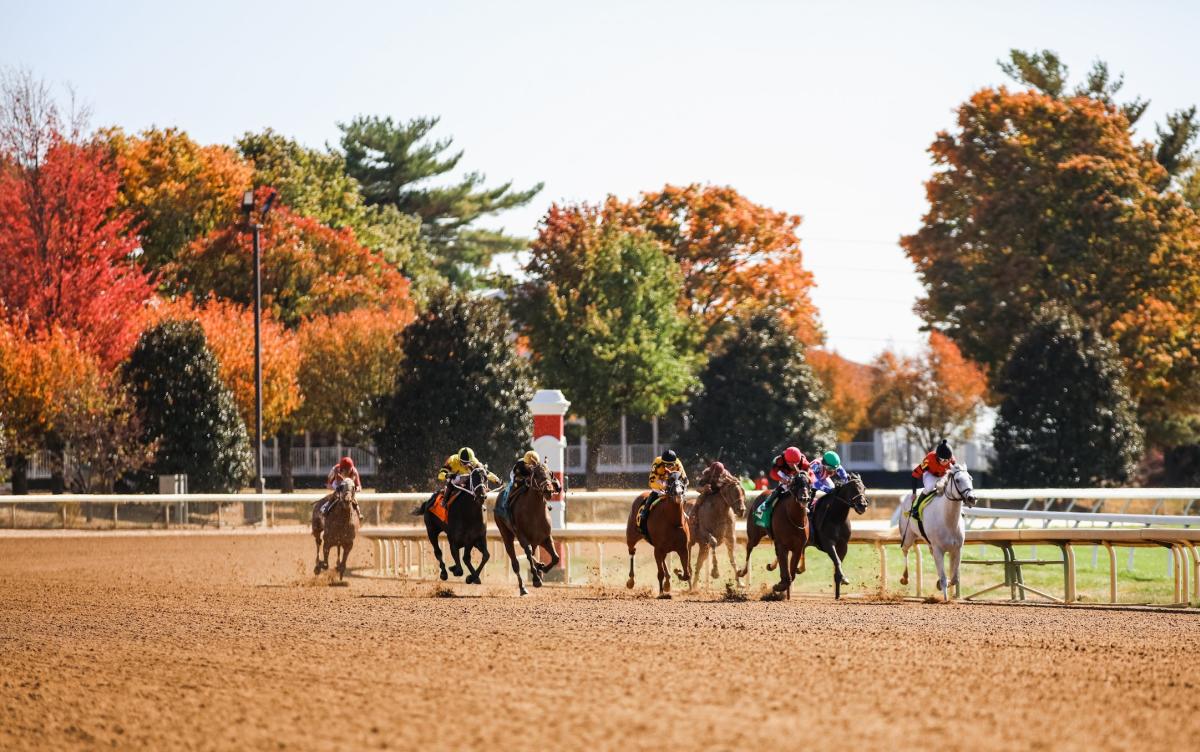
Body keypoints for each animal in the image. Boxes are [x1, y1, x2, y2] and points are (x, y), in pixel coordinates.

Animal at [501, 462, 566, 597]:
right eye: (535, 475)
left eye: (550, 473)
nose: (548, 490)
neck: (534, 511)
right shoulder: (521, 535)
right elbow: (528, 553)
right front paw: (536, 579)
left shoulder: (545, 538)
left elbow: (556, 557)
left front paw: (542, 568)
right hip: (506, 534)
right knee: (516, 562)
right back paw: (523, 588)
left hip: (535, 541)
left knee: (532, 554)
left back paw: (539, 566)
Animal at [691, 462, 744, 592]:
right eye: (733, 492)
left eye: (742, 491)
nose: (742, 510)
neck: (719, 512)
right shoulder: (705, 533)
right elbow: (714, 542)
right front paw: (715, 572)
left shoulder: (730, 538)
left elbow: (733, 559)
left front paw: (739, 582)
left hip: (702, 546)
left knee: (699, 564)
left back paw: (694, 586)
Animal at [897, 462, 979, 602]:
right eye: (958, 480)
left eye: (970, 478)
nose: (972, 498)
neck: (948, 520)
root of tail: (908, 496)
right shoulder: (938, 549)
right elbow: (944, 578)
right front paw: (945, 599)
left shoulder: (957, 549)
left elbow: (954, 578)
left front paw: (940, 585)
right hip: (908, 535)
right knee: (905, 550)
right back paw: (905, 578)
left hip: (929, 544)